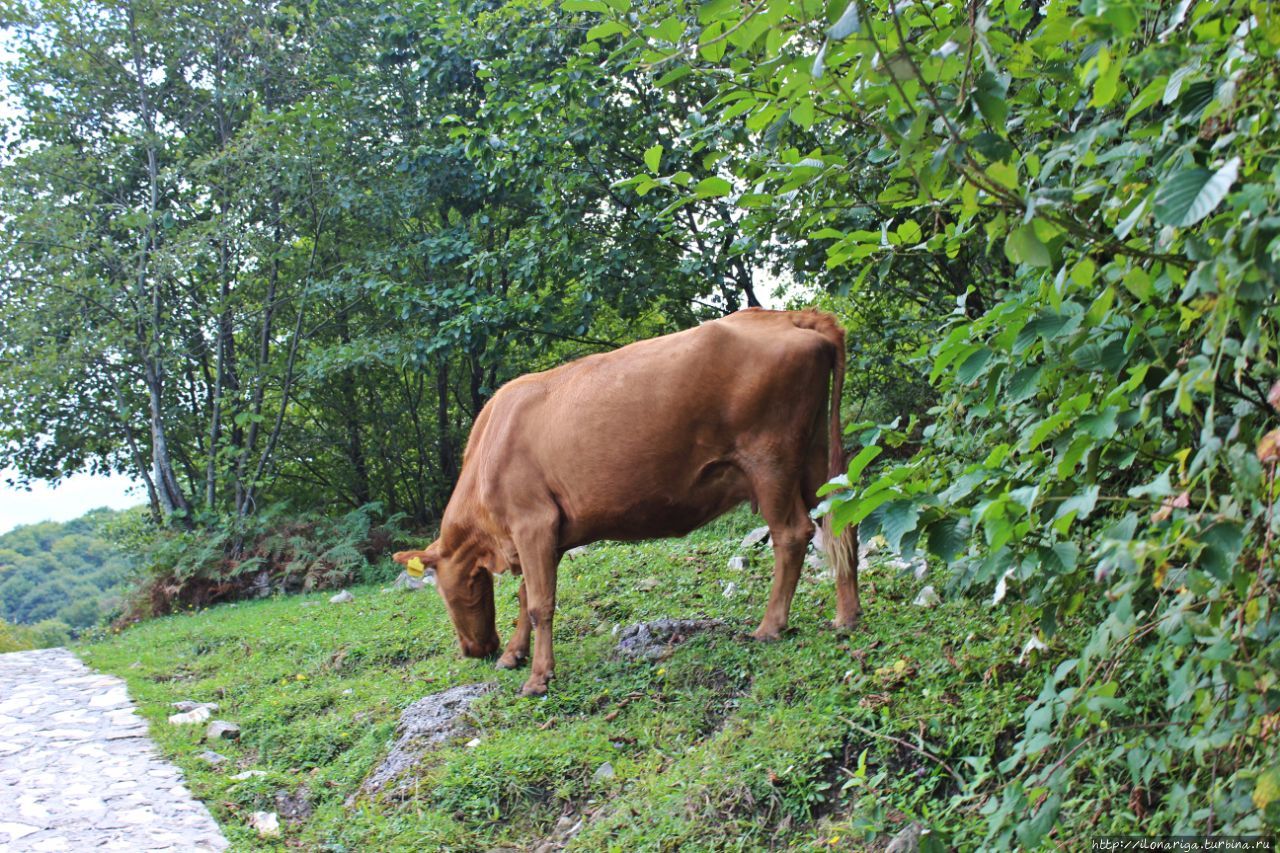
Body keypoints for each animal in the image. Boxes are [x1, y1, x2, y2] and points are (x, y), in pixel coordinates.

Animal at [394, 308, 860, 696]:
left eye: (454, 590)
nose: (476, 649)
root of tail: (787, 315)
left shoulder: (532, 521)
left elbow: (540, 603)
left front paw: (539, 677)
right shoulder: (545, 533)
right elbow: (527, 596)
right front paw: (513, 654)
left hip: (770, 462)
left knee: (792, 534)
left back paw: (770, 626)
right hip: (815, 457)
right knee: (841, 523)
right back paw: (847, 616)